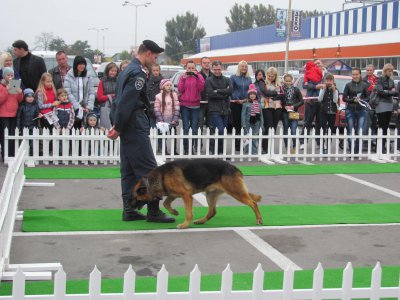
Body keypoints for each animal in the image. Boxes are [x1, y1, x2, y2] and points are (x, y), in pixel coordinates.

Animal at [132, 158, 262, 229]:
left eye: (135, 197)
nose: (131, 207)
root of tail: (235, 168)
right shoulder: (173, 195)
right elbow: (166, 203)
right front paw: (174, 212)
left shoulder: (186, 195)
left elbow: (188, 213)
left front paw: (185, 225)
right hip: (210, 195)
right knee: (212, 211)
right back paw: (201, 221)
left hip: (236, 192)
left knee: (253, 203)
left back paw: (259, 219)